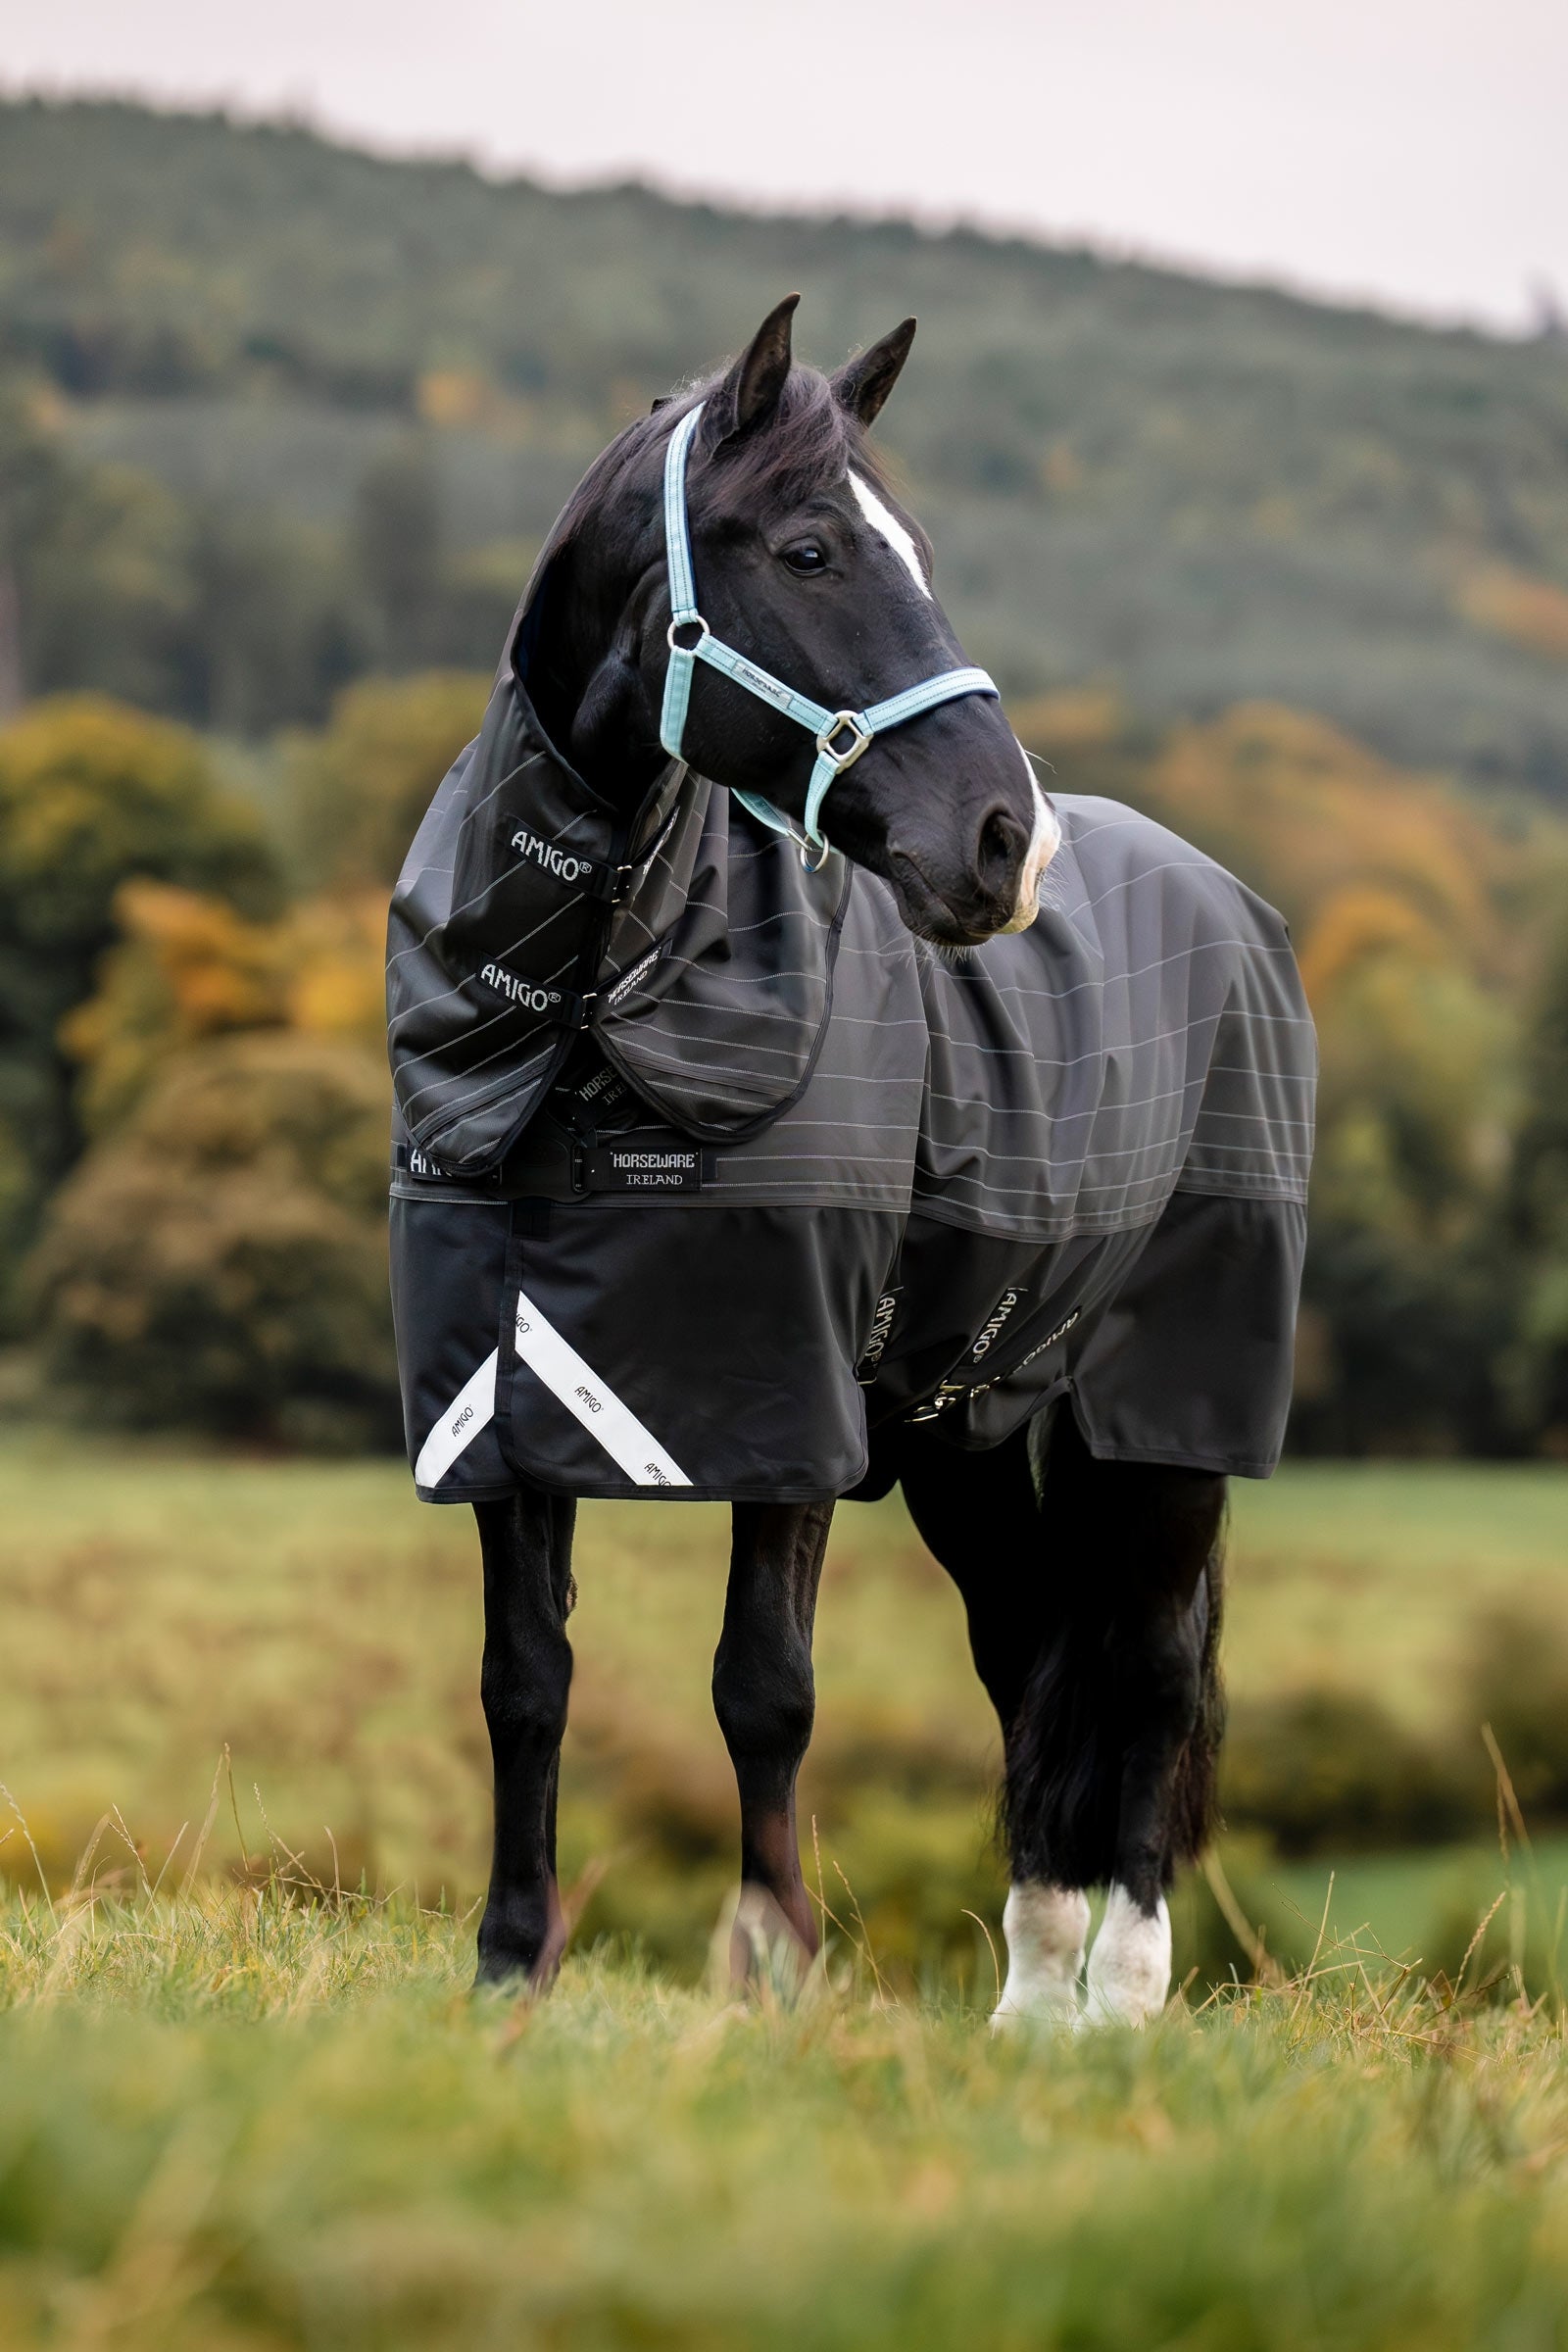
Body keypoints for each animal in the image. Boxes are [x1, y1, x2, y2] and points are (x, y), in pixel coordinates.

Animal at [385, 296, 1314, 2026]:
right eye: (811, 550)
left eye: (919, 551)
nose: (1007, 843)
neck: (597, 1011)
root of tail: (1229, 901)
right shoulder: (504, 1391)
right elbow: (524, 1679)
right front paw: (509, 1974)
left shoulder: (790, 1403)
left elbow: (767, 1687)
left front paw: (773, 1979)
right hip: (965, 1429)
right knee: (1032, 1655)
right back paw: (1032, 2009)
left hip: (1167, 1416)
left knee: (1146, 1669)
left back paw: (1125, 1999)